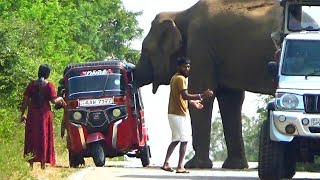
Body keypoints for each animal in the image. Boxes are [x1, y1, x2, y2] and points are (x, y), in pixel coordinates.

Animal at [134, 0, 282, 169]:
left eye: (145, 49)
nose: (130, 72)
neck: (181, 13)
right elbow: (230, 100)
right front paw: (234, 166)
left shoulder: (200, 48)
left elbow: (201, 94)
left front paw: (194, 165)